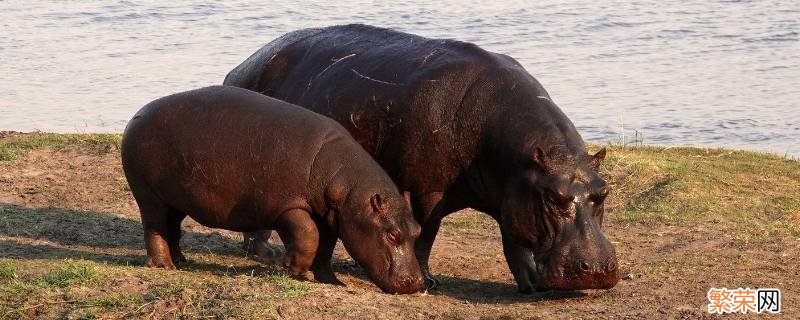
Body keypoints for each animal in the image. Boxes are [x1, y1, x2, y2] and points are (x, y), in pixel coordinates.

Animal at [120, 85, 424, 296]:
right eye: (393, 234)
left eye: (417, 230)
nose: (417, 282)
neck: (346, 188)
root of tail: (136, 115)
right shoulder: (289, 206)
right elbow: (308, 235)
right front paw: (294, 269)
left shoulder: (330, 217)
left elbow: (325, 247)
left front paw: (330, 280)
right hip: (149, 196)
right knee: (154, 227)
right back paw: (164, 266)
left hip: (176, 200)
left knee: (172, 226)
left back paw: (181, 260)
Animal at [225, 23, 620, 292]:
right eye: (553, 197)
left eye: (603, 192)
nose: (598, 270)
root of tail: (241, 66)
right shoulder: (428, 190)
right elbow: (427, 232)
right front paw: (428, 280)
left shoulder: (513, 194)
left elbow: (514, 239)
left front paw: (530, 285)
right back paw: (261, 252)